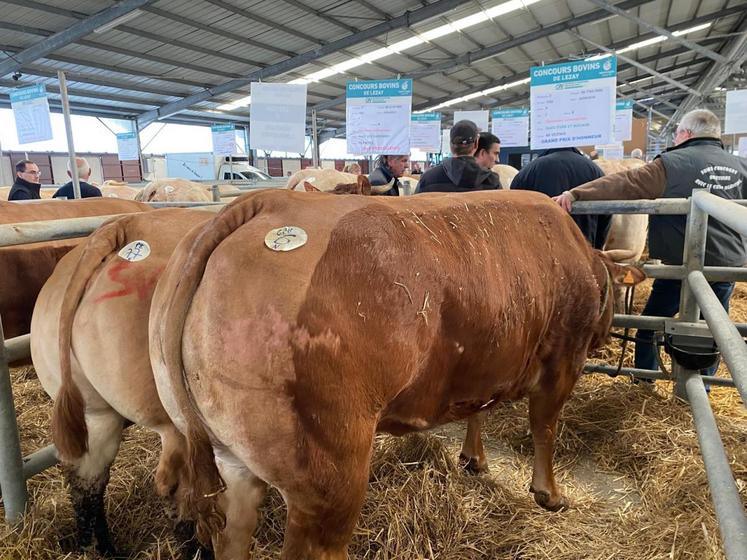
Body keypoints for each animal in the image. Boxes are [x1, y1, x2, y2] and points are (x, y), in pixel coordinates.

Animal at [31, 209, 213, 556]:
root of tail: (122, 226)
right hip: (176, 421)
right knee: (176, 485)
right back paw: (198, 548)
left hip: (94, 411)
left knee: (87, 476)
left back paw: (101, 548)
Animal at [149, 189, 644, 560]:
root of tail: (263, 203)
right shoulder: (564, 356)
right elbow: (545, 426)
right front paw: (549, 494)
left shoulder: (479, 360)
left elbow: (477, 409)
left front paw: (473, 458)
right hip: (329, 471)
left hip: (230, 456)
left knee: (232, 535)